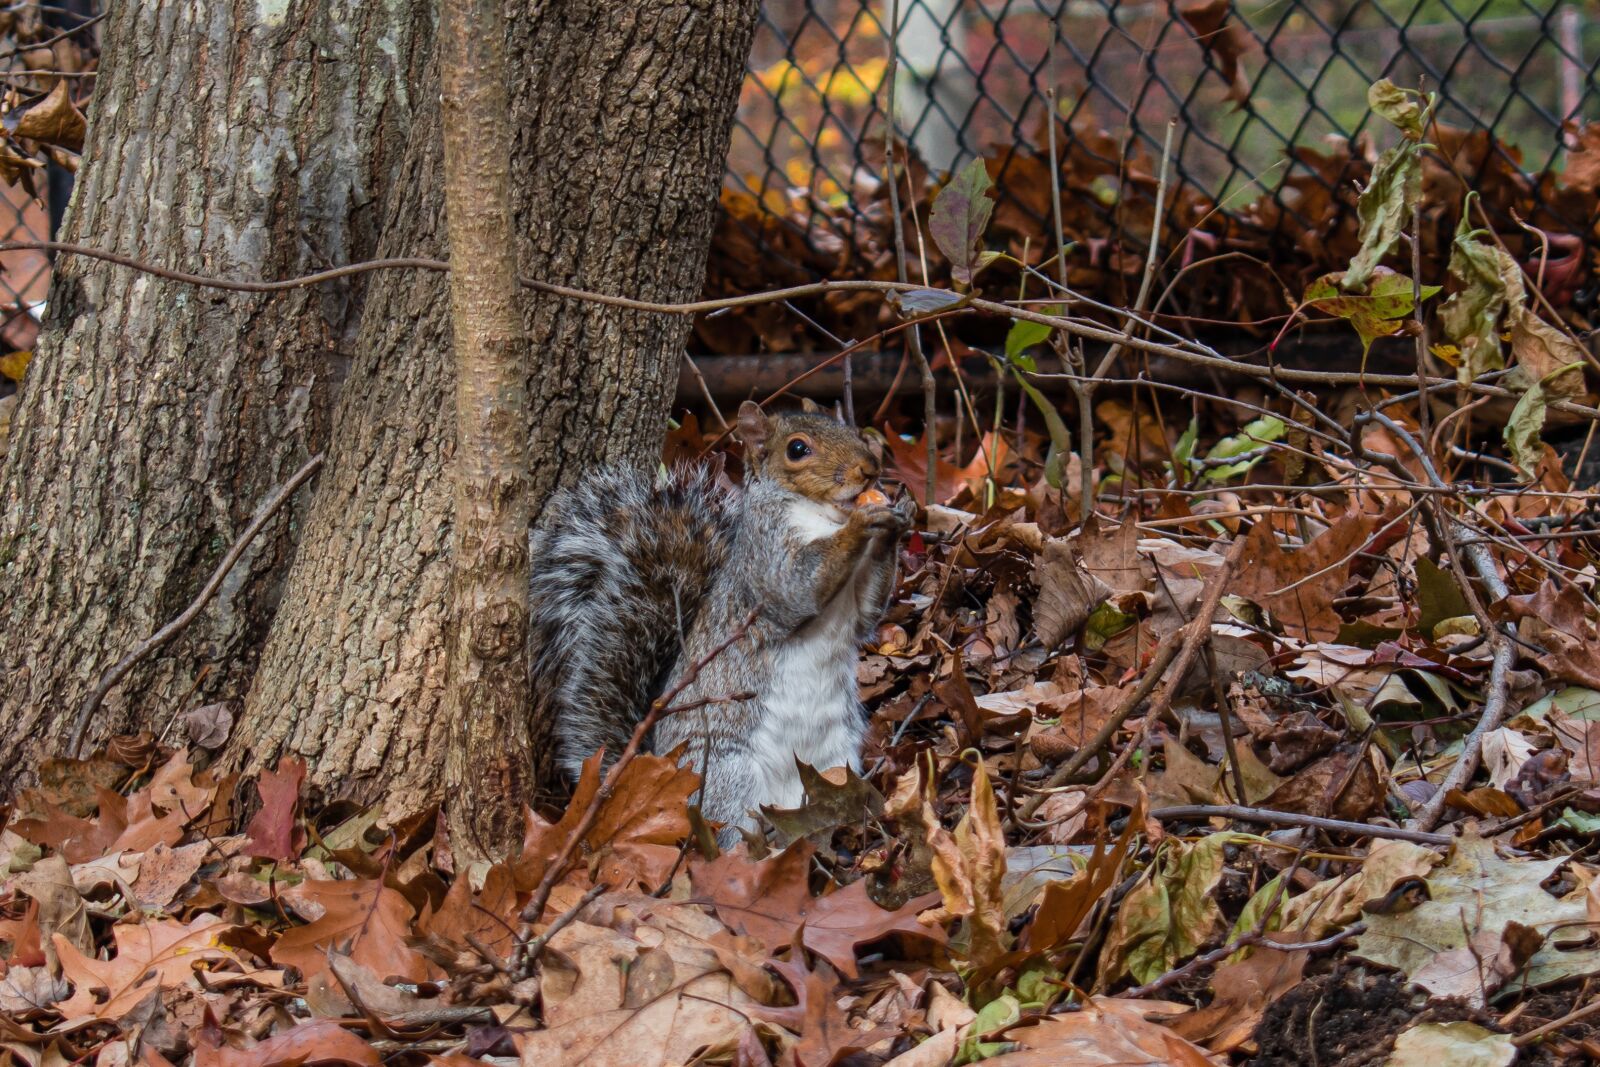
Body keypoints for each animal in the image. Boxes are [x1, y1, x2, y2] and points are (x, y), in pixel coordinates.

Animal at [528, 398, 913, 840]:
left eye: (850, 430)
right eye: (797, 449)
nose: (869, 469)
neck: (820, 517)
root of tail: (662, 770)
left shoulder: (857, 606)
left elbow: (868, 613)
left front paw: (896, 519)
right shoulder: (763, 560)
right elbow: (795, 588)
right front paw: (862, 524)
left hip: (837, 762)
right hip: (726, 775)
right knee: (728, 831)